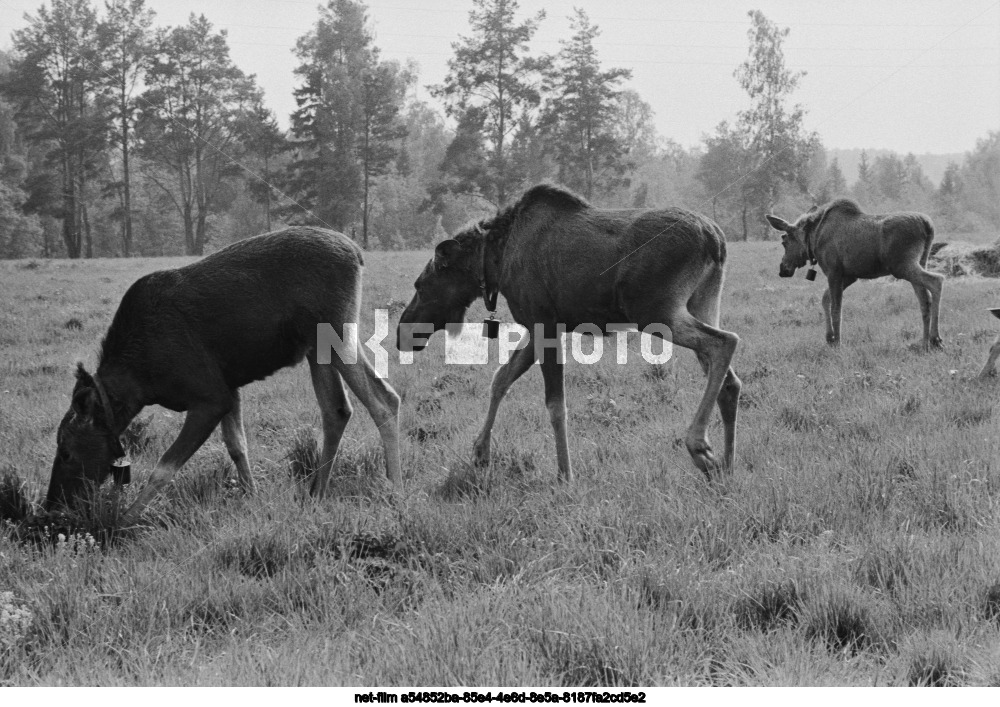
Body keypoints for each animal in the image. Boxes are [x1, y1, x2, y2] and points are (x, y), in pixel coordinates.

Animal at [46, 227, 398, 520]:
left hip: (335, 331)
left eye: (65, 452)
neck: (139, 384)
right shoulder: (229, 388)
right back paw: (317, 492)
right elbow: (237, 447)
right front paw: (252, 498)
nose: (53, 505)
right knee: (336, 409)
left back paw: (394, 488)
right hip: (316, 348)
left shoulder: (209, 397)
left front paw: (124, 520)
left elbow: (164, 467)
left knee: (385, 399)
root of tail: (357, 253)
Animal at [394, 184, 740, 482]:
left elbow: (555, 405)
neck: (493, 263)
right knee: (730, 380)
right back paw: (728, 464)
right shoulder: (539, 324)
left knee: (725, 341)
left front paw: (565, 473)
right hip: (701, 301)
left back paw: (699, 446)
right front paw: (480, 450)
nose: (402, 331)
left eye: (421, 285)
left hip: (654, 311)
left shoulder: (544, 324)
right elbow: (501, 378)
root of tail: (716, 240)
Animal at [764, 199, 944, 348]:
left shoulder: (834, 271)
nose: (782, 269)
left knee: (937, 281)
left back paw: (935, 338)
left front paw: (838, 341)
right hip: (919, 262)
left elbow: (836, 308)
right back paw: (924, 342)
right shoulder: (850, 275)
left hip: (902, 266)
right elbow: (825, 298)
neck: (812, 238)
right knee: (924, 299)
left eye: (784, 241)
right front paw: (829, 337)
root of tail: (928, 226)